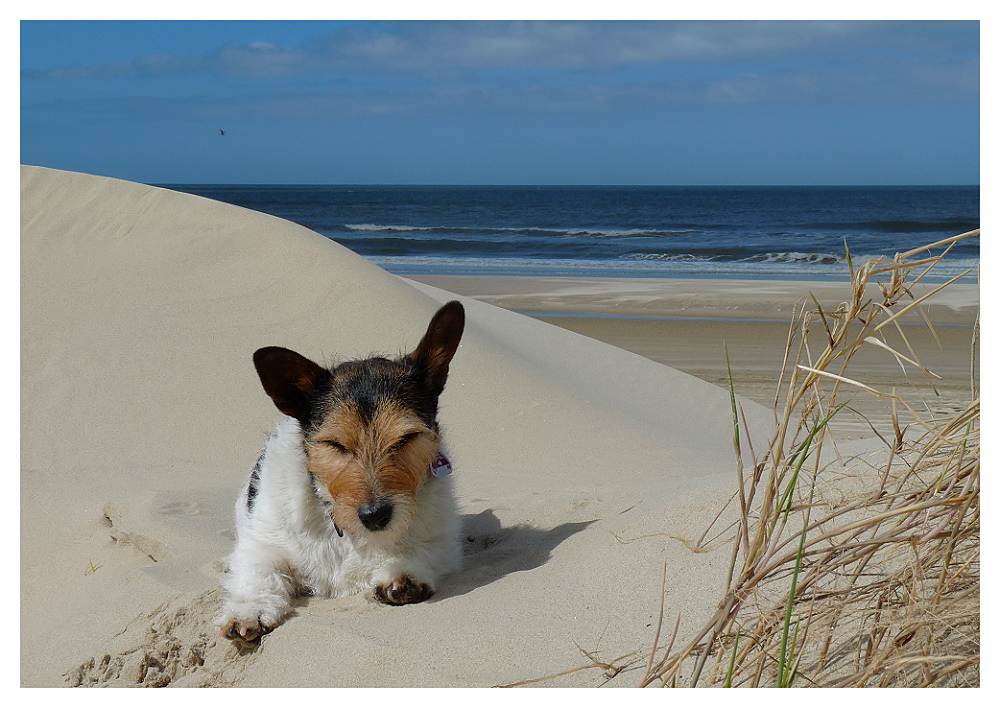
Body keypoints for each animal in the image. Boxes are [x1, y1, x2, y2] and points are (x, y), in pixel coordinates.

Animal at [218, 298, 464, 640]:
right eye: (336, 445)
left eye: (407, 438)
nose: (375, 516)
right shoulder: (262, 544)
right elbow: (259, 572)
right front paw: (250, 609)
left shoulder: (443, 540)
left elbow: (421, 551)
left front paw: (402, 574)